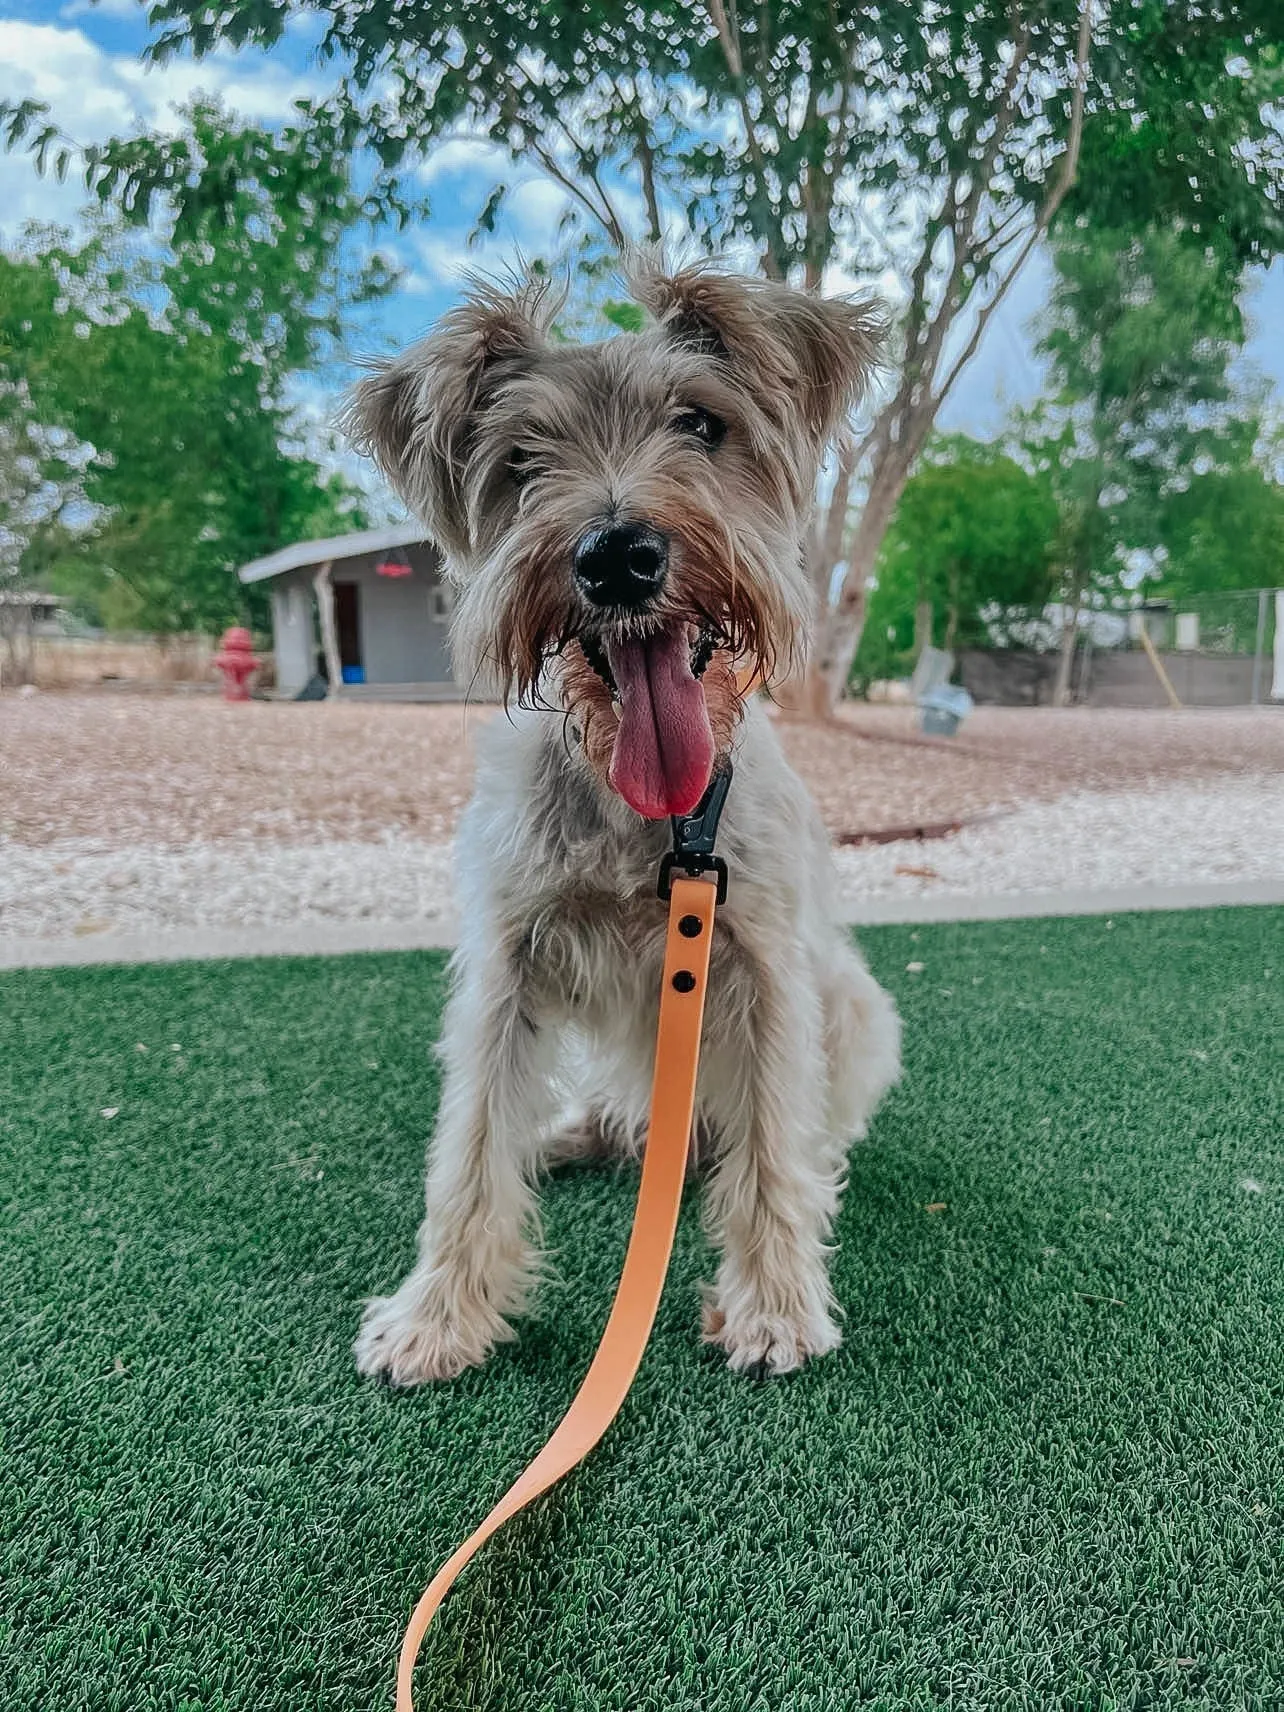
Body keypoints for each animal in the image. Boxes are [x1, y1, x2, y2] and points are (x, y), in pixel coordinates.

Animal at [347, 260, 897, 1376]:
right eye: (521, 457)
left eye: (700, 423)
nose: (616, 554)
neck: (646, 814)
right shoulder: (504, 962)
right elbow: (471, 1145)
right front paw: (438, 1315)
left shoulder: (766, 966)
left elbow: (772, 1139)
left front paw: (775, 1305)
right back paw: (585, 1127)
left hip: (854, 1003)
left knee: (787, 1129)